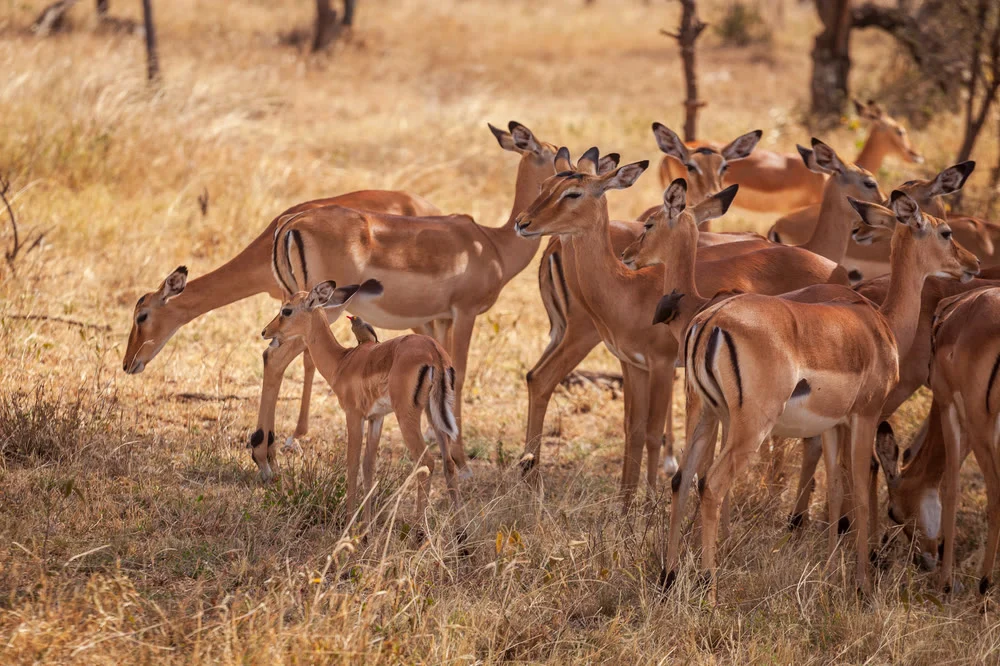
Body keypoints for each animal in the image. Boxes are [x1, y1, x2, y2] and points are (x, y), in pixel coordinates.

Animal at [250, 121, 560, 478]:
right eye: (558, 156)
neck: (493, 244)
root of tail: (291, 223)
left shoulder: (440, 319)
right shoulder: (464, 312)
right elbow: (461, 372)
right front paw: (462, 462)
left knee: (273, 354)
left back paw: (266, 456)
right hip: (324, 309)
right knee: (275, 358)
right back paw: (266, 460)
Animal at [260, 279, 460, 518]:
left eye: (287, 310)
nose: (265, 331)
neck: (342, 361)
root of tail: (434, 352)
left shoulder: (354, 415)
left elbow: (353, 465)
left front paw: (349, 521)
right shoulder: (376, 418)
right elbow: (368, 467)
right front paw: (366, 525)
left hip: (407, 417)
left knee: (427, 463)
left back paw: (419, 528)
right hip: (435, 416)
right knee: (449, 464)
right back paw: (460, 528)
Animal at [521, 134, 883, 490]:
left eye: (573, 192)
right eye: (545, 186)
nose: (523, 223)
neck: (628, 287)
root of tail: (835, 270)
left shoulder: (660, 364)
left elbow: (650, 433)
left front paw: (646, 499)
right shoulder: (634, 365)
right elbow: (633, 432)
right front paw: (626, 501)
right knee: (538, 377)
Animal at [671, 192, 977, 599]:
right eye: (945, 232)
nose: (972, 263)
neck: (882, 325)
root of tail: (710, 320)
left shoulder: (832, 426)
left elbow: (834, 492)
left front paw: (832, 573)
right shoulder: (866, 416)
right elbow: (860, 492)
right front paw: (863, 583)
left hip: (705, 414)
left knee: (682, 478)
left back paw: (668, 576)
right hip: (750, 427)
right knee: (712, 485)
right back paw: (711, 590)